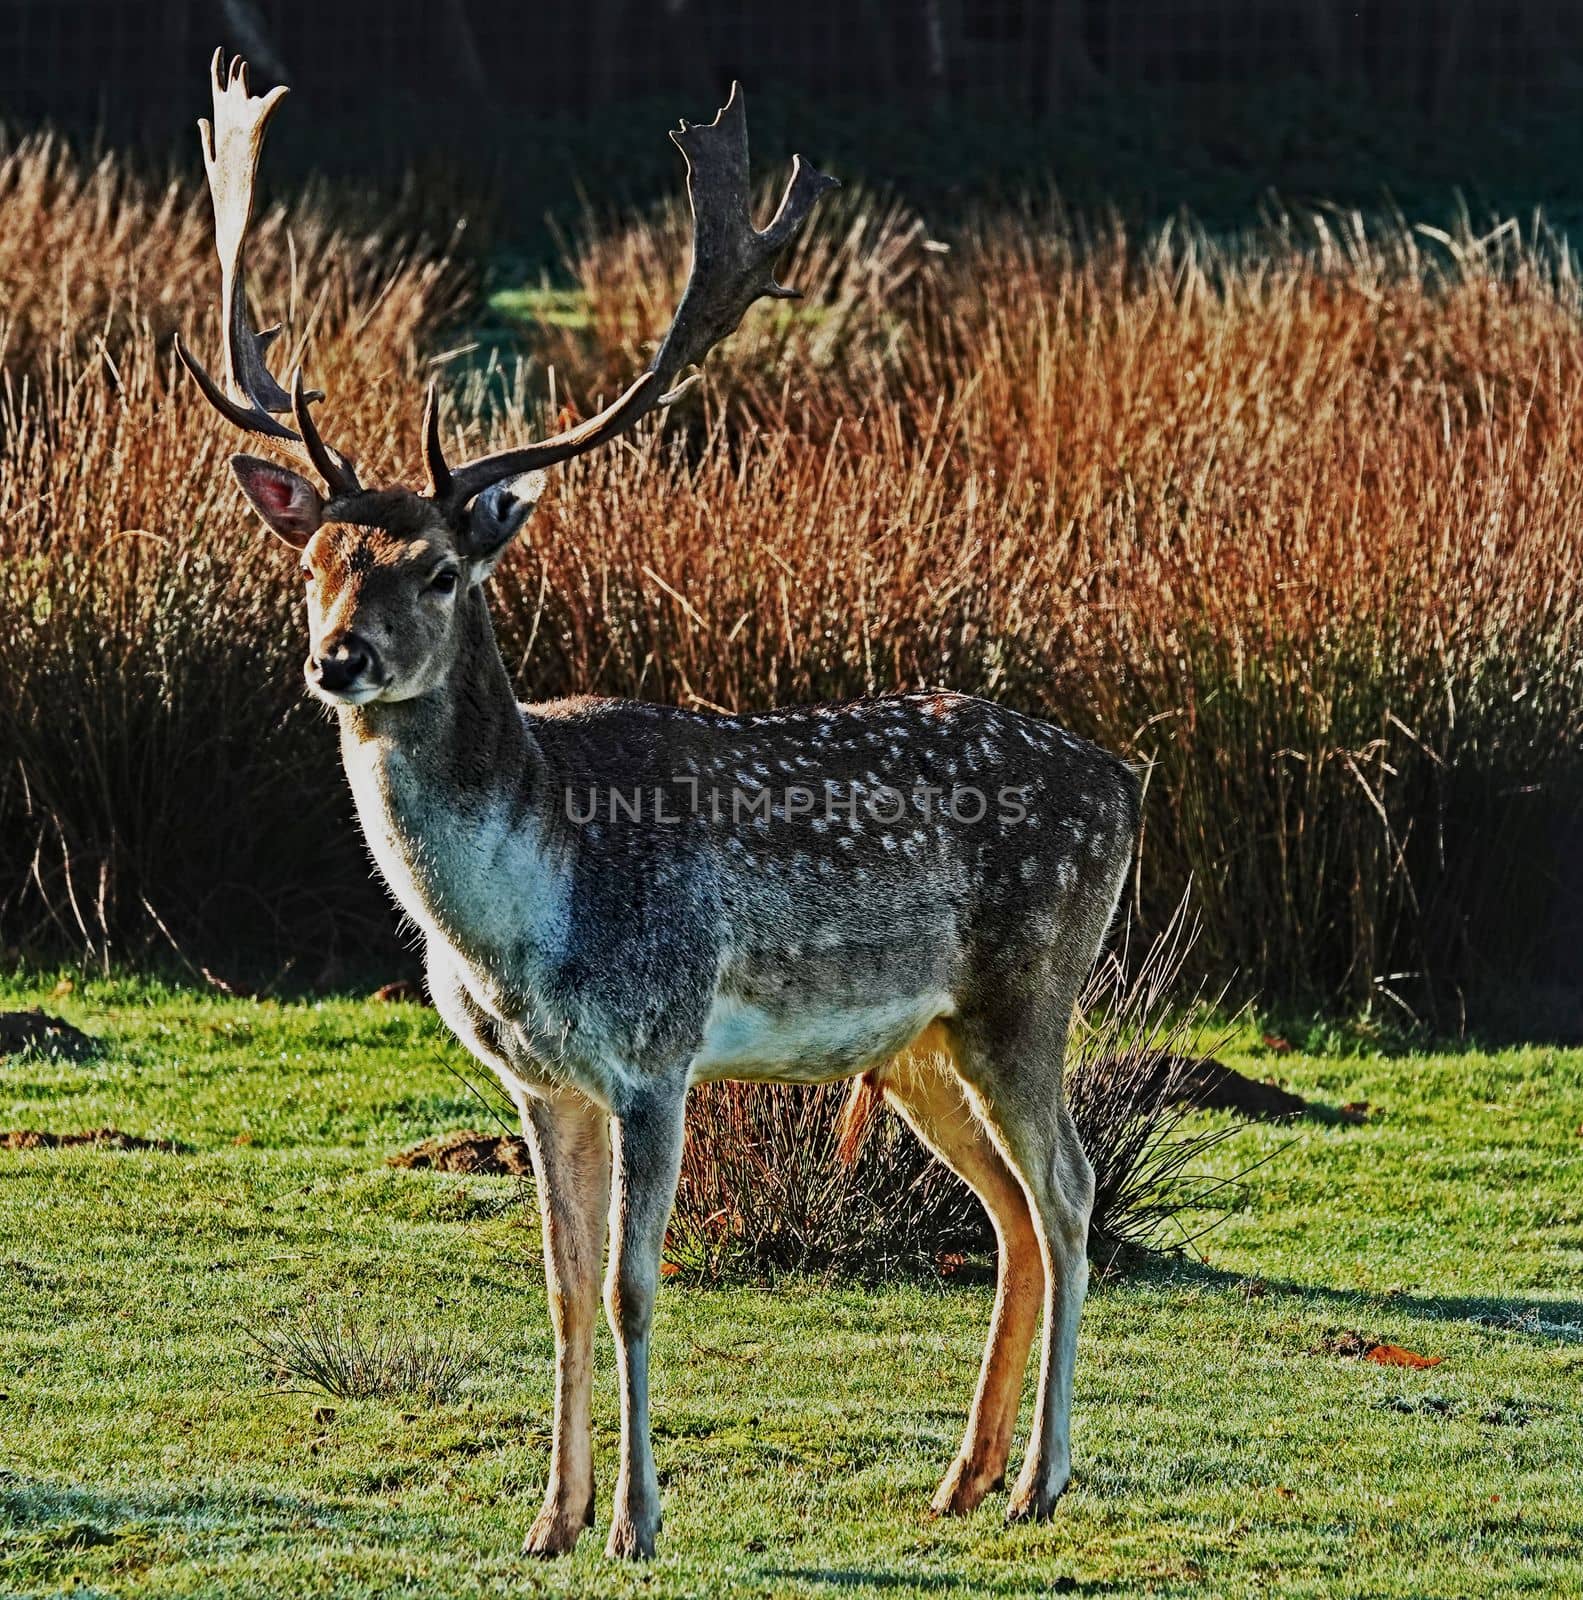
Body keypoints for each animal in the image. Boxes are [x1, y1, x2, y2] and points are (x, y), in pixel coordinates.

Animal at [176, 53, 1139, 1561]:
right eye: (317, 559)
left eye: (439, 567)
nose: (339, 659)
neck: (522, 918)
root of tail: (1124, 778)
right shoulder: (532, 1076)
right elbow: (562, 1288)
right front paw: (547, 1519)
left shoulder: (654, 1049)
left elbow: (635, 1286)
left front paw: (636, 1520)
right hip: (916, 1043)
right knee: (1008, 1215)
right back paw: (960, 1478)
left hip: (1027, 985)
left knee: (1072, 1192)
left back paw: (1040, 1481)